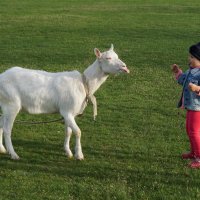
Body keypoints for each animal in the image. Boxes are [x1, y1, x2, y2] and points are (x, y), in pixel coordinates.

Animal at [0, 44, 130, 160]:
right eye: (108, 58)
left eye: (117, 56)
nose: (125, 67)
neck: (84, 84)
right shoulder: (67, 111)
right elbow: (78, 132)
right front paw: (79, 155)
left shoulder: (70, 112)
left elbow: (68, 132)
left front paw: (68, 152)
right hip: (12, 104)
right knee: (7, 129)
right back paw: (14, 154)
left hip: (5, 104)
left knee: (1, 123)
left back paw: (2, 149)